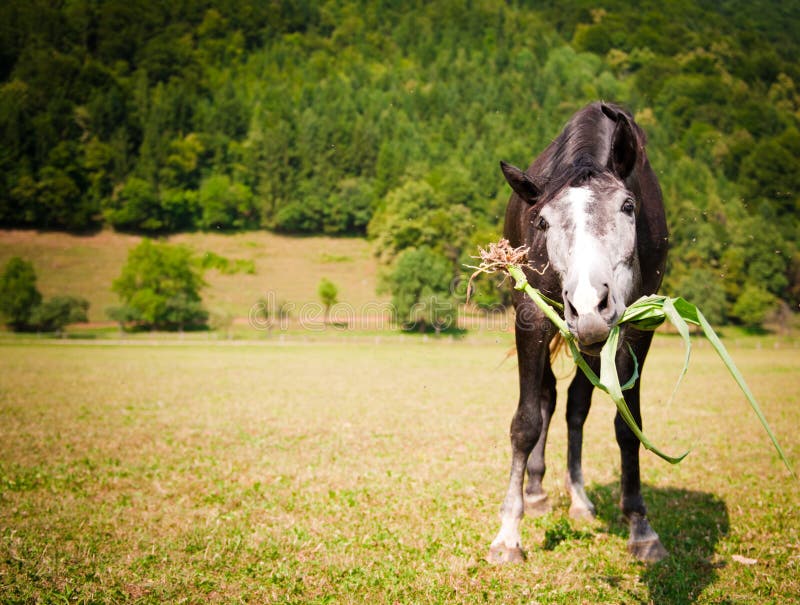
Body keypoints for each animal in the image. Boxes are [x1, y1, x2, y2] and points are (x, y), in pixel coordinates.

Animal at [490, 102, 672, 560]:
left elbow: (628, 425)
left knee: (575, 405)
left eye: (628, 206)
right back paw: (536, 491)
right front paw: (508, 534)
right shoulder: (531, 318)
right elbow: (525, 422)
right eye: (542, 222)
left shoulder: (636, 327)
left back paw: (579, 499)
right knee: (547, 398)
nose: (589, 305)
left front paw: (641, 527)